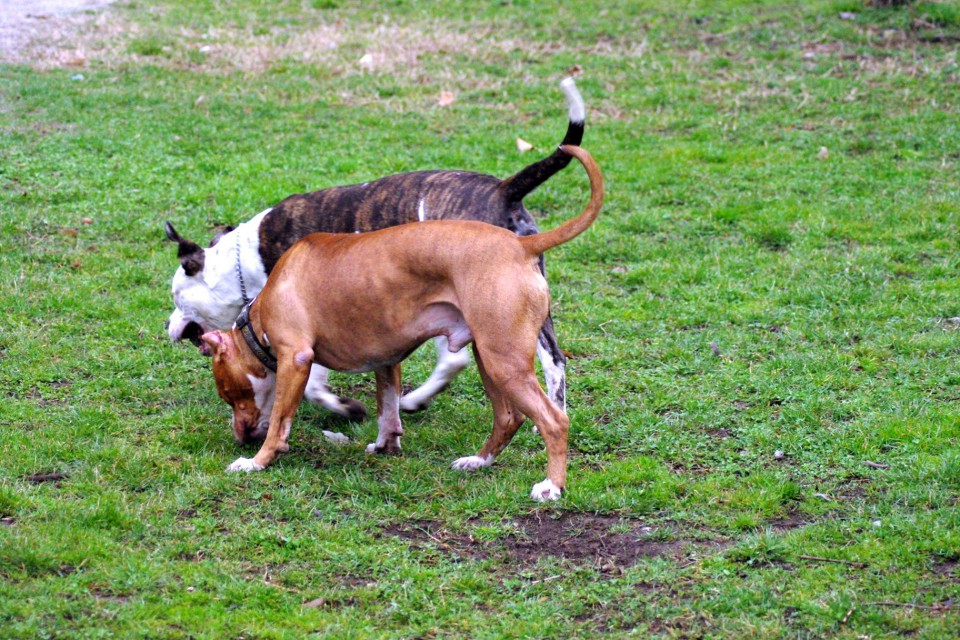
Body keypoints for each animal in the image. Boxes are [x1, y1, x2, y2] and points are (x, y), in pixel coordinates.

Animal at [167, 76, 584, 420]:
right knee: (553, 362)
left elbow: (314, 383)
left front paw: (342, 407)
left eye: (175, 296)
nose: (166, 326)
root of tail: (503, 190)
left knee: (460, 361)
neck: (243, 259)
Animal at [200, 148, 604, 502]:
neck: (259, 315)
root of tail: (521, 246)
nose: (241, 439)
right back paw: (479, 461)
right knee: (508, 417)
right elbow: (388, 406)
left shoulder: (296, 359)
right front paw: (385, 443)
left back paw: (552, 486)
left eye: (229, 393)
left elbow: (281, 419)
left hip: (505, 362)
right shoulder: (385, 358)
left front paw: (256, 461)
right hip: (490, 358)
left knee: (553, 421)